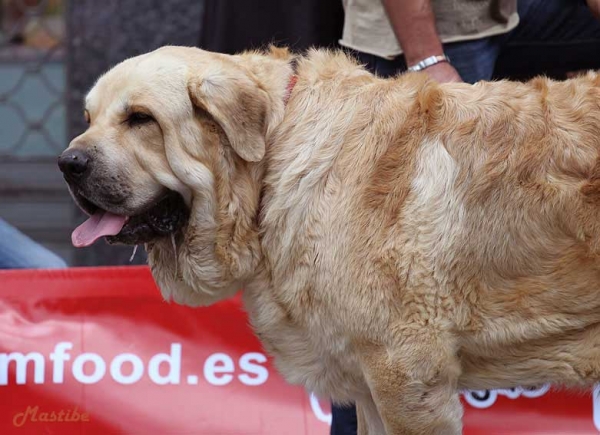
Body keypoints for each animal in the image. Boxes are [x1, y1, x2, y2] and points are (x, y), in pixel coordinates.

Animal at [58, 46, 600, 434]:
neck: (274, 154)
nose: (68, 163)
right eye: (88, 119)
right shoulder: (373, 384)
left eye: (140, 119)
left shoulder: (406, 375)